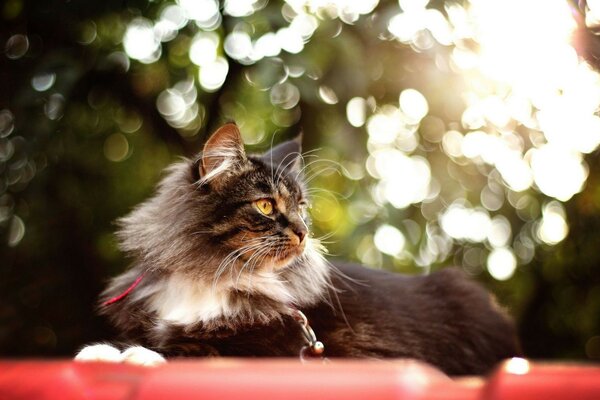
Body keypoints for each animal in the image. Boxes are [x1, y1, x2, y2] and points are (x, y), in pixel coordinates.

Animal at [76, 122, 520, 376]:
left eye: (302, 206)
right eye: (266, 205)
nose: (304, 231)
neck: (213, 274)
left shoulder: (270, 350)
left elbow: (193, 351)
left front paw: (133, 355)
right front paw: (103, 351)